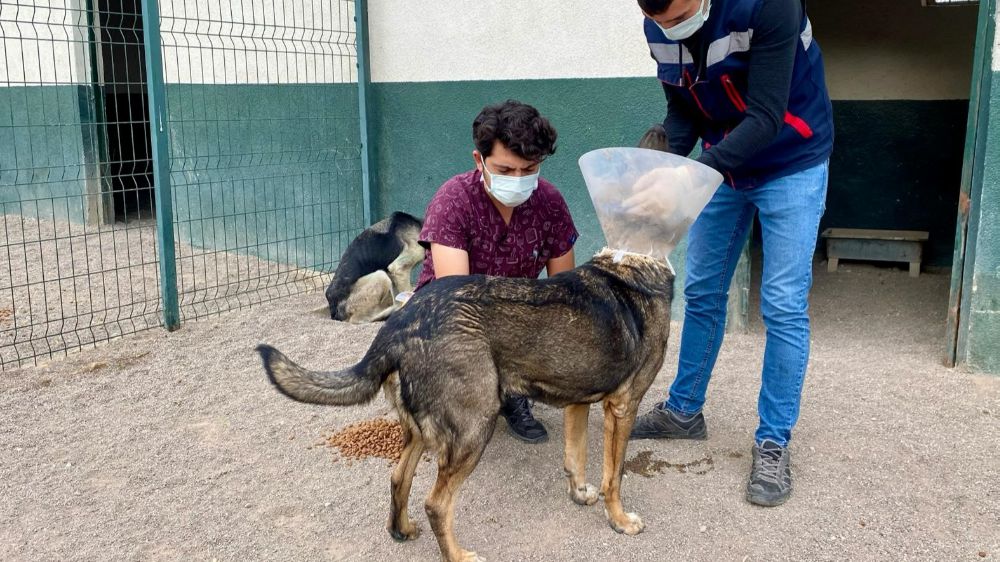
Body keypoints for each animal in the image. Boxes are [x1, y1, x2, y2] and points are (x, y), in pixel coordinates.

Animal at [260, 249, 680, 560]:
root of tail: (400, 325)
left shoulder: (578, 401)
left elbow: (574, 460)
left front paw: (579, 495)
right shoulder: (623, 407)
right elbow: (614, 477)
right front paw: (620, 521)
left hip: (422, 432)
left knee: (399, 478)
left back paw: (401, 529)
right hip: (474, 429)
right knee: (436, 504)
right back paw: (457, 555)